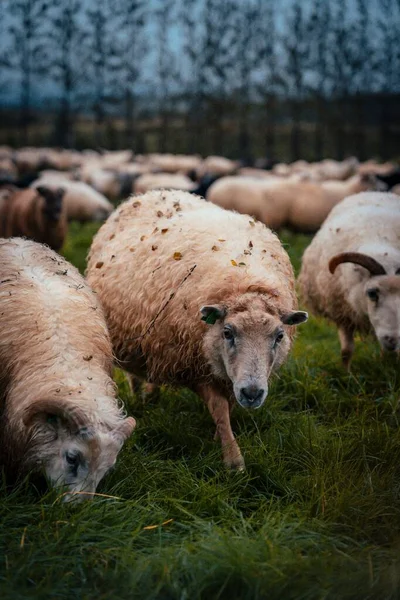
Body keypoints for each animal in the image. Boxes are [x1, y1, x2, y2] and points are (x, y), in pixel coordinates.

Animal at [86, 190, 306, 472]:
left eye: (279, 337)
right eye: (227, 333)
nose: (253, 393)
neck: (245, 284)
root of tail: (154, 192)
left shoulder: (227, 375)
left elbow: (229, 406)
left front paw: (218, 438)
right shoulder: (196, 365)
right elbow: (220, 409)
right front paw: (233, 460)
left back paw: (152, 395)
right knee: (134, 374)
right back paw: (141, 397)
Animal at [298, 193, 400, 370]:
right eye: (371, 293)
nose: (393, 340)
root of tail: (373, 192)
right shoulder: (342, 312)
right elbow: (347, 350)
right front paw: (346, 373)